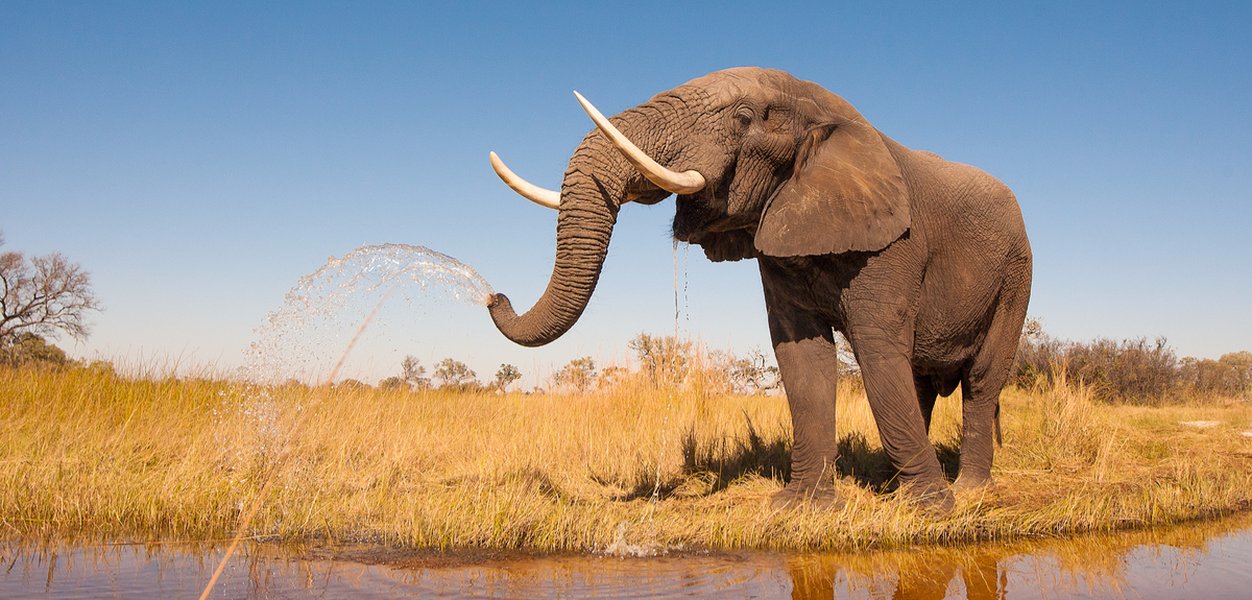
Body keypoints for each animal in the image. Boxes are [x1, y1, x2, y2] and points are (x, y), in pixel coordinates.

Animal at [485, 67, 1032, 511]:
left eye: (745, 117)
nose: (494, 296)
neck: (827, 110)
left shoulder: (895, 244)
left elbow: (877, 351)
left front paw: (931, 511)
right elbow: (802, 355)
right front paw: (800, 507)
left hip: (1017, 276)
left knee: (981, 379)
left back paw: (966, 491)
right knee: (920, 381)